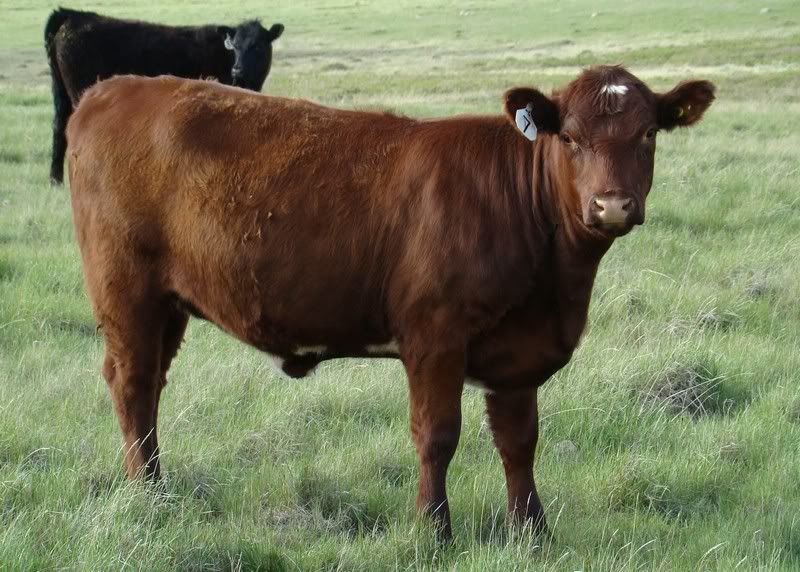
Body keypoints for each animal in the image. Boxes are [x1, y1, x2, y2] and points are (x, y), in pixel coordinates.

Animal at [45, 7, 284, 185]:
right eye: (234, 46)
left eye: (258, 45)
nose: (238, 69)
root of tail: (72, 15)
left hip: (61, 94)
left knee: (58, 128)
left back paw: (56, 180)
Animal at [65, 66, 714, 540]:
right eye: (571, 138)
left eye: (648, 134)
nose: (613, 205)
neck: (557, 284)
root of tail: (117, 87)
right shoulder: (433, 336)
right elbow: (437, 435)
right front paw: (434, 533)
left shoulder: (517, 355)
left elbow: (519, 441)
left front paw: (534, 534)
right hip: (126, 292)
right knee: (132, 385)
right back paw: (149, 496)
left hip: (168, 303)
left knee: (149, 388)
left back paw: (156, 486)